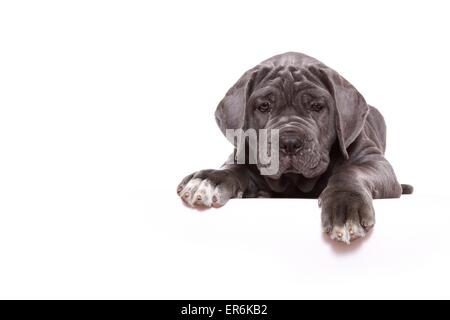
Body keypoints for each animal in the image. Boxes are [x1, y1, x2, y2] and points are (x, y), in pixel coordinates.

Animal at [175, 51, 412, 244]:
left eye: (317, 106)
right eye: (264, 106)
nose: (289, 142)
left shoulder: (374, 161)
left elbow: (351, 171)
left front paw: (345, 206)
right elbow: (232, 169)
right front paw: (209, 180)